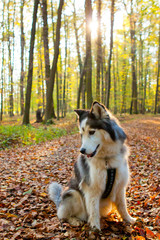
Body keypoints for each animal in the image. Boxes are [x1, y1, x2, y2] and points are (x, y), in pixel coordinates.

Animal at [48, 101, 136, 231]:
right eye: (81, 134)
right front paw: (95, 229)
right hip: (72, 194)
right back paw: (75, 221)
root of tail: (59, 201)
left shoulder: (120, 186)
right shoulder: (92, 189)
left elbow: (122, 206)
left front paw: (129, 219)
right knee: (62, 216)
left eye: (91, 132)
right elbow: (93, 211)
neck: (107, 160)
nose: (82, 151)